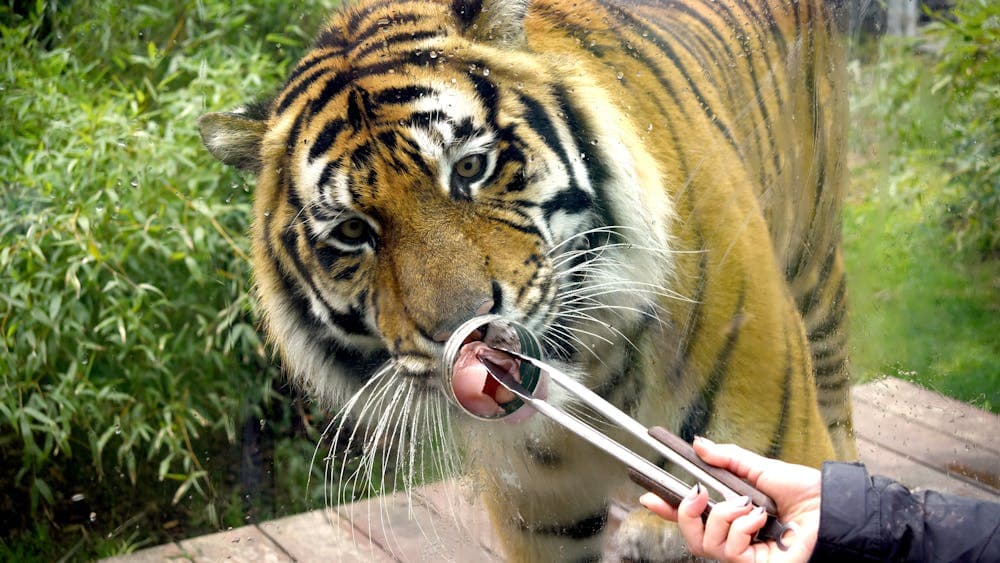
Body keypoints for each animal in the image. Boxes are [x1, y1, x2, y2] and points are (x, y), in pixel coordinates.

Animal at [199, 1, 856, 560]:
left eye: (471, 167)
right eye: (354, 231)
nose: (465, 332)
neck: (597, 381)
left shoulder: (773, 439)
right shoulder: (539, 517)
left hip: (816, 271)